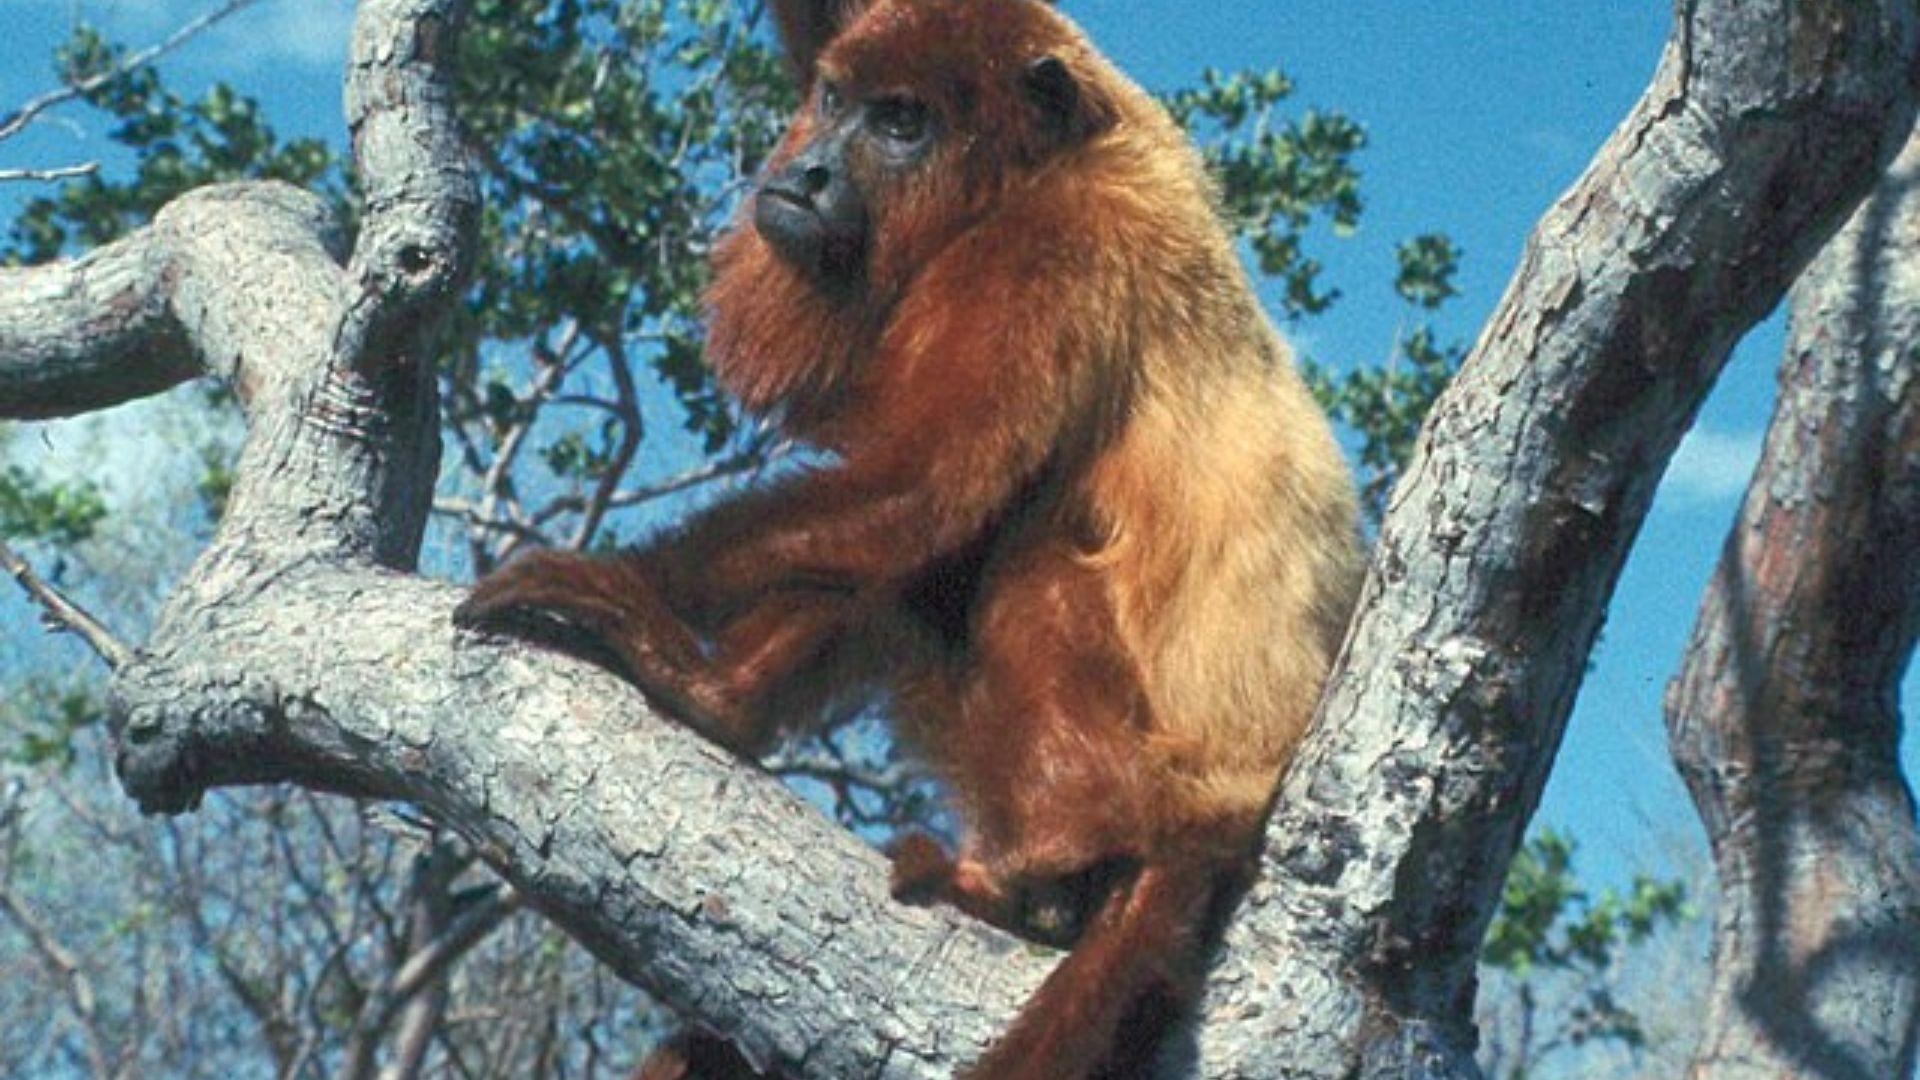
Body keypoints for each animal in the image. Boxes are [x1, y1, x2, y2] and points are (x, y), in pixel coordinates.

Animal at [455, 1, 1363, 1076]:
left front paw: (611, 580)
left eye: (901, 125)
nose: (808, 173)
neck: (1026, 173)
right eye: (835, 98)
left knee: (1020, 546)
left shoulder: (1047, 253)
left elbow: (925, 485)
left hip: (1166, 771)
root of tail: (1234, 808)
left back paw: (1042, 867)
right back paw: (719, 698)